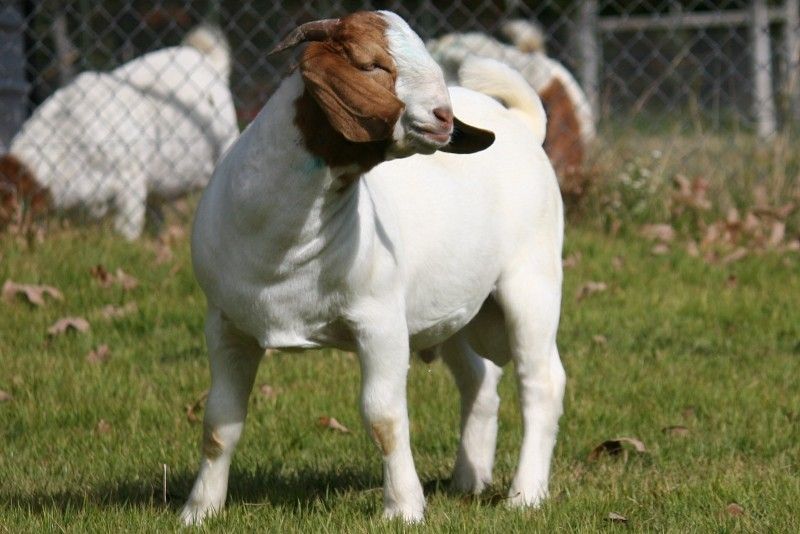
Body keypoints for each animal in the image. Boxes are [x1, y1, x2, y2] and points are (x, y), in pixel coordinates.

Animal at [183, 11, 565, 525]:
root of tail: (522, 124)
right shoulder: (226, 324)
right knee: (480, 379)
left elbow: (384, 416)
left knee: (541, 382)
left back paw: (525, 495)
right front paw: (199, 510)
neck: (285, 249)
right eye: (370, 64)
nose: (444, 118)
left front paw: (404, 508)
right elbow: (219, 423)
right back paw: (469, 478)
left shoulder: (380, 320)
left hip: (533, 283)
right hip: (455, 307)